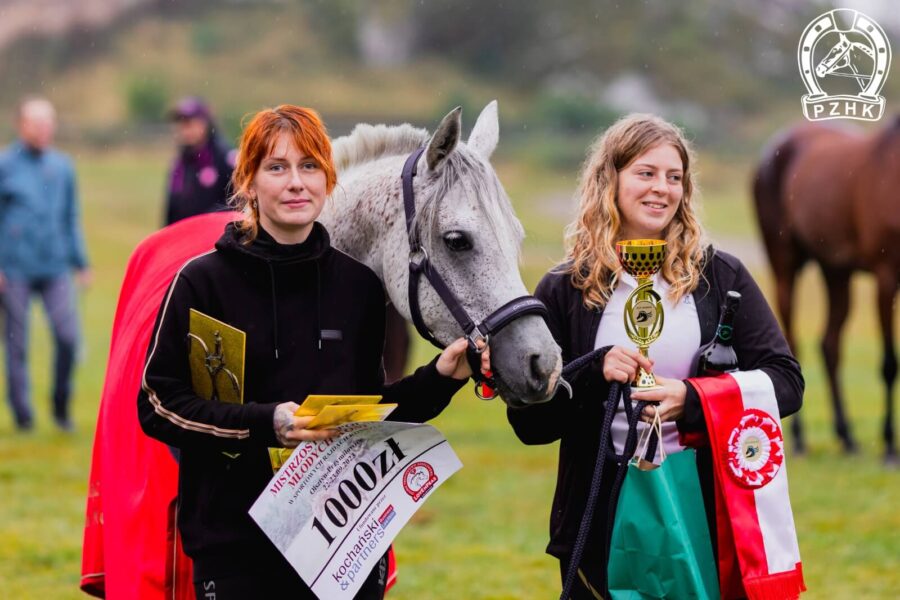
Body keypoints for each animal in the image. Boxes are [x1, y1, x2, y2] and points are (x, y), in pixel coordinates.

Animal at [756, 118, 896, 464]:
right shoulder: (886, 276)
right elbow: (890, 364)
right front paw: (889, 445)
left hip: (836, 273)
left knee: (830, 345)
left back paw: (847, 437)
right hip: (785, 266)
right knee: (794, 344)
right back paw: (800, 439)